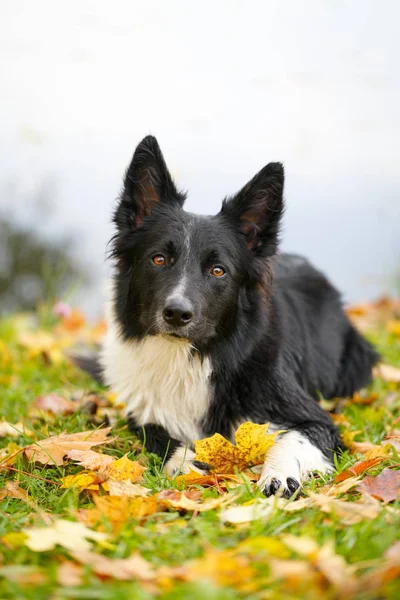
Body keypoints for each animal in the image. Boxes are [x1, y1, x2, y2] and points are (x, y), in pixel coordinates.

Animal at [77, 136, 378, 496]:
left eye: (218, 270)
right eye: (159, 259)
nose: (177, 313)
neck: (193, 356)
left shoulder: (316, 420)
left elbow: (290, 439)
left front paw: (279, 474)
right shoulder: (142, 413)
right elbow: (163, 439)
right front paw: (187, 466)